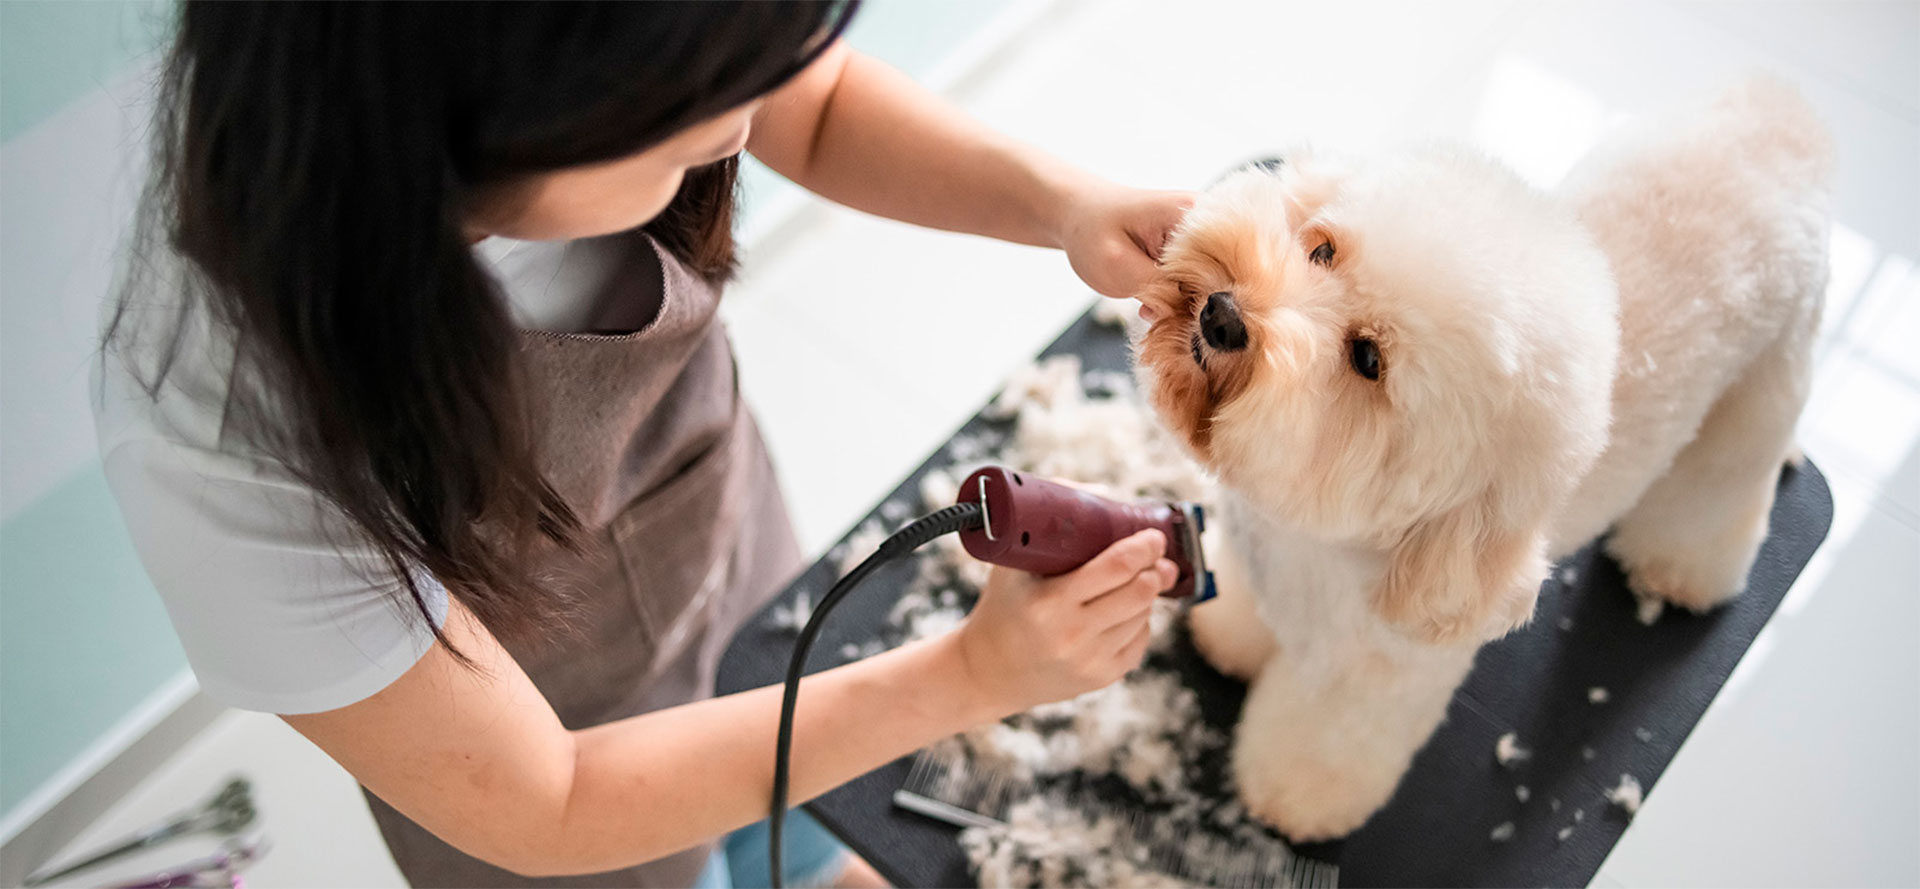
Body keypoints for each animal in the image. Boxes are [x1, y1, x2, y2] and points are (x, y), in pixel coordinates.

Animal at [1128, 78, 1835, 840]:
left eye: (1368, 359)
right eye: (1323, 250)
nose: (1222, 315)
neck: (1312, 543)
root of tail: (1787, 112)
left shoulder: (1371, 679)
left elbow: (1324, 743)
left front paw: (1293, 799)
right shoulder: (1263, 566)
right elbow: (1246, 615)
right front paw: (1229, 640)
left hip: (1763, 389)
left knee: (1717, 491)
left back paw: (1682, 572)